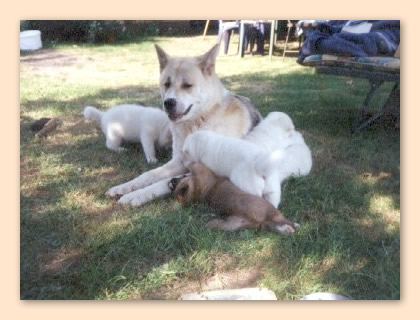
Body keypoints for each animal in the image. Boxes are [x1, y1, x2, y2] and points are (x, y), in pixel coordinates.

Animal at [106, 43, 260, 206]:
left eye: (187, 85)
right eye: (167, 84)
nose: (168, 103)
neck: (197, 122)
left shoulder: (206, 172)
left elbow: (163, 182)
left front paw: (138, 195)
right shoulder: (179, 161)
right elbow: (149, 175)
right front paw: (125, 187)